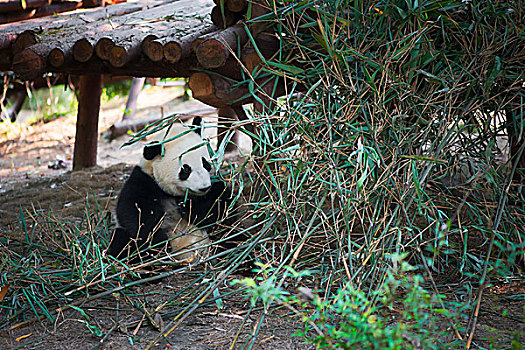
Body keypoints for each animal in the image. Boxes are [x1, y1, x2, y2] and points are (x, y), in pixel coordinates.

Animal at [108, 116, 239, 264]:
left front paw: (188, 207)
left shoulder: (215, 186)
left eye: (205, 163)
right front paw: (159, 244)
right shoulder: (143, 181)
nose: (204, 187)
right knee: (120, 240)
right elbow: (136, 213)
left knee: (232, 235)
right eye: (186, 169)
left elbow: (222, 207)